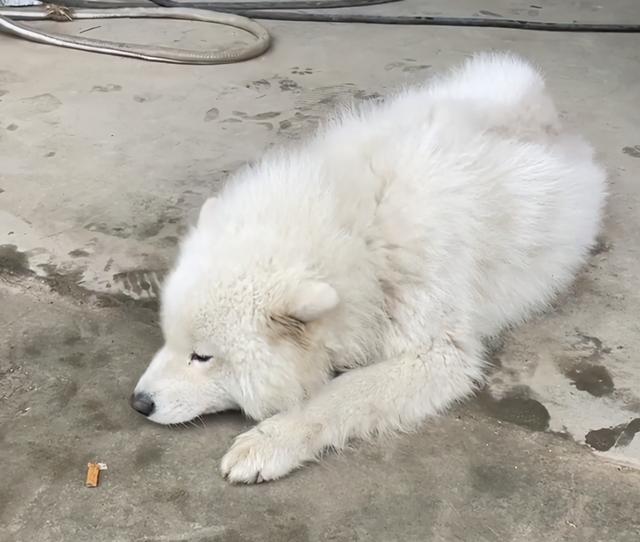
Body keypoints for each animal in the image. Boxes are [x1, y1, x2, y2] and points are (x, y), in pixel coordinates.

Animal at [131, 52, 604, 484]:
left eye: (202, 356)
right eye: (169, 339)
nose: (139, 402)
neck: (359, 229)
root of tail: (549, 113)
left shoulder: (439, 350)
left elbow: (340, 395)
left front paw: (271, 440)